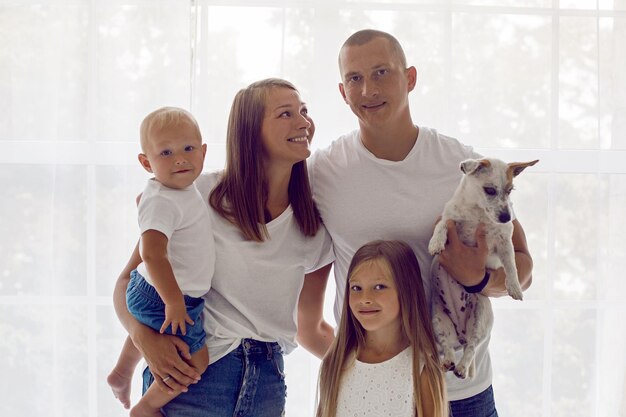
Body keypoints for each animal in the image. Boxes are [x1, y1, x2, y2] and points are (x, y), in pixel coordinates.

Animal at [428, 156, 536, 376]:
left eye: (510, 190)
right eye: (490, 190)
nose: (507, 217)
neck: (477, 213)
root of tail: (461, 334)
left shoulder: (504, 243)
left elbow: (511, 265)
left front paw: (515, 287)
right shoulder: (449, 219)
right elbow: (442, 226)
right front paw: (436, 242)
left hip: (481, 319)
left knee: (471, 348)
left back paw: (461, 367)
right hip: (438, 322)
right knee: (447, 345)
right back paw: (448, 361)